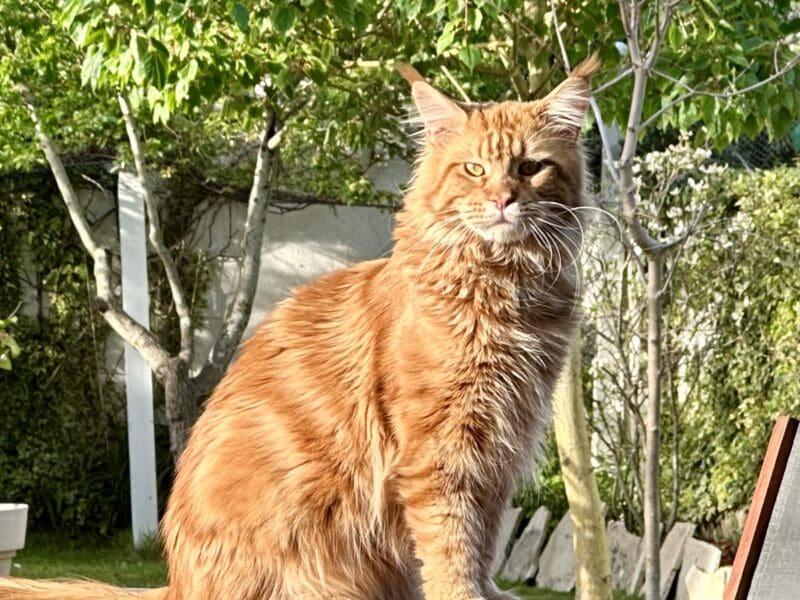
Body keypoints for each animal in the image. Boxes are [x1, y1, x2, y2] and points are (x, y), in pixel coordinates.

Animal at [0, 57, 600, 600]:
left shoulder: (500, 449)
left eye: (530, 167)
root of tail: (174, 585)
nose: (503, 199)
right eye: (474, 169)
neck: (506, 289)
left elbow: (482, 543)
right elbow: (453, 547)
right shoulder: (441, 452)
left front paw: (492, 591)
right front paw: (466, 595)